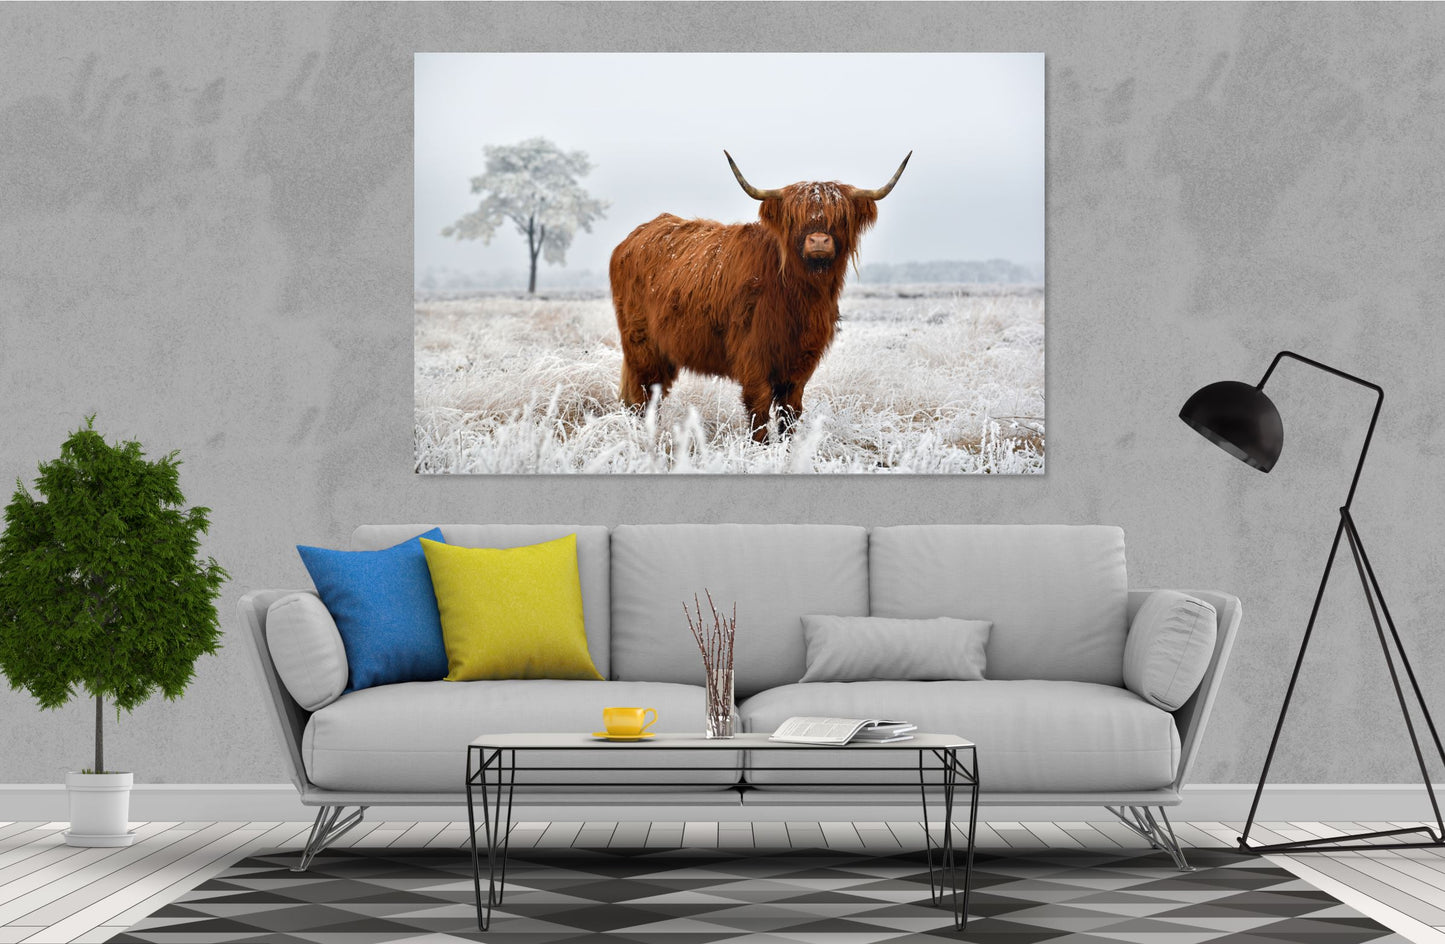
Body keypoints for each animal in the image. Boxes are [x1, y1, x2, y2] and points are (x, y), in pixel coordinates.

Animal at [609, 150, 910, 443]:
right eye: (794, 217)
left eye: (840, 217)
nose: (818, 241)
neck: (799, 296)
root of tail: (634, 237)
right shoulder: (753, 355)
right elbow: (759, 409)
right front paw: (761, 448)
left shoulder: (800, 362)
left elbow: (790, 411)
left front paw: (788, 448)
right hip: (642, 346)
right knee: (644, 395)